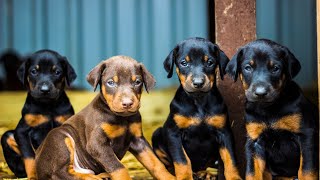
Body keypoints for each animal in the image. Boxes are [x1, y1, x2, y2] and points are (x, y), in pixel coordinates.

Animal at [0, 49, 77, 179]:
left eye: (57, 72)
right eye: (34, 71)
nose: (45, 90)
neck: (47, 105)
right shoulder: (22, 131)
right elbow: (30, 156)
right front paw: (33, 176)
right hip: (7, 137)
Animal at [35, 55, 175, 179]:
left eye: (137, 82)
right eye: (111, 83)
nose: (127, 103)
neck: (122, 118)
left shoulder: (138, 140)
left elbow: (156, 163)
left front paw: (169, 177)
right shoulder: (96, 143)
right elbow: (118, 167)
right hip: (60, 138)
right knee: (60, 172)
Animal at [151, 37, 241, 179]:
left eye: (210, 62)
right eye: (184, 63)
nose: (198, 83)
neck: (199, 100)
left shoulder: (224, 132)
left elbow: (231, 160)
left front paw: (234, 177)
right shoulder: (173, 133)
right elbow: (182, 160)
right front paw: (184, 177)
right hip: (157, 134)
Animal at [226, 38, 318, 179]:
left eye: (275, 68)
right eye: (248, 68)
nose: (260, 93)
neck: (268, 109)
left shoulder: (306, 134)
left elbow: (307, 170)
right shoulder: (254, 141)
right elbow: (252, 172)